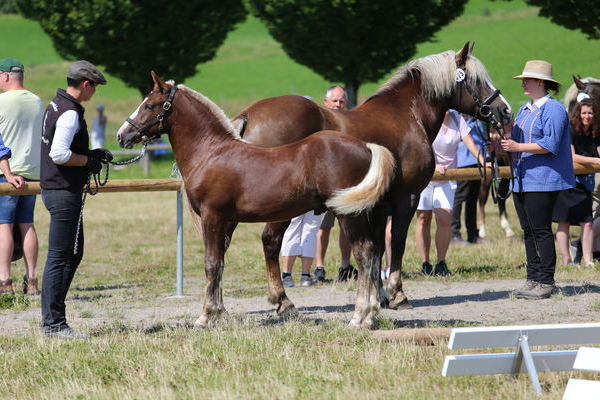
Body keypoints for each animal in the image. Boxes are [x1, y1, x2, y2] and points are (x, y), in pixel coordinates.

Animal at [118, 72, 398, 328]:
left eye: (150, 105)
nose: (123, 135)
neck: (210, 152)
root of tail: (366, 147)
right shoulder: (225, 221)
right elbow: (220, 262)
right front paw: (219, 313)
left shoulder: (212, 217)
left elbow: (211, 263)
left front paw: (205, 316)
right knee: (372, 250)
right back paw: (371, 314)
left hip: (349, 214)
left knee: (363, 251)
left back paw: (360, 316)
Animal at [233, 42, 510, 308]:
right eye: (476, 80)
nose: (505, 111)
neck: (408, 114)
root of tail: (249, 116)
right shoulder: (406, 198)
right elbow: (396, 242)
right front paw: (397, 295)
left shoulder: (378, 204)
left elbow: (376, 247)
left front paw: (379, 296)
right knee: (270, 241)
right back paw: (282, 301)